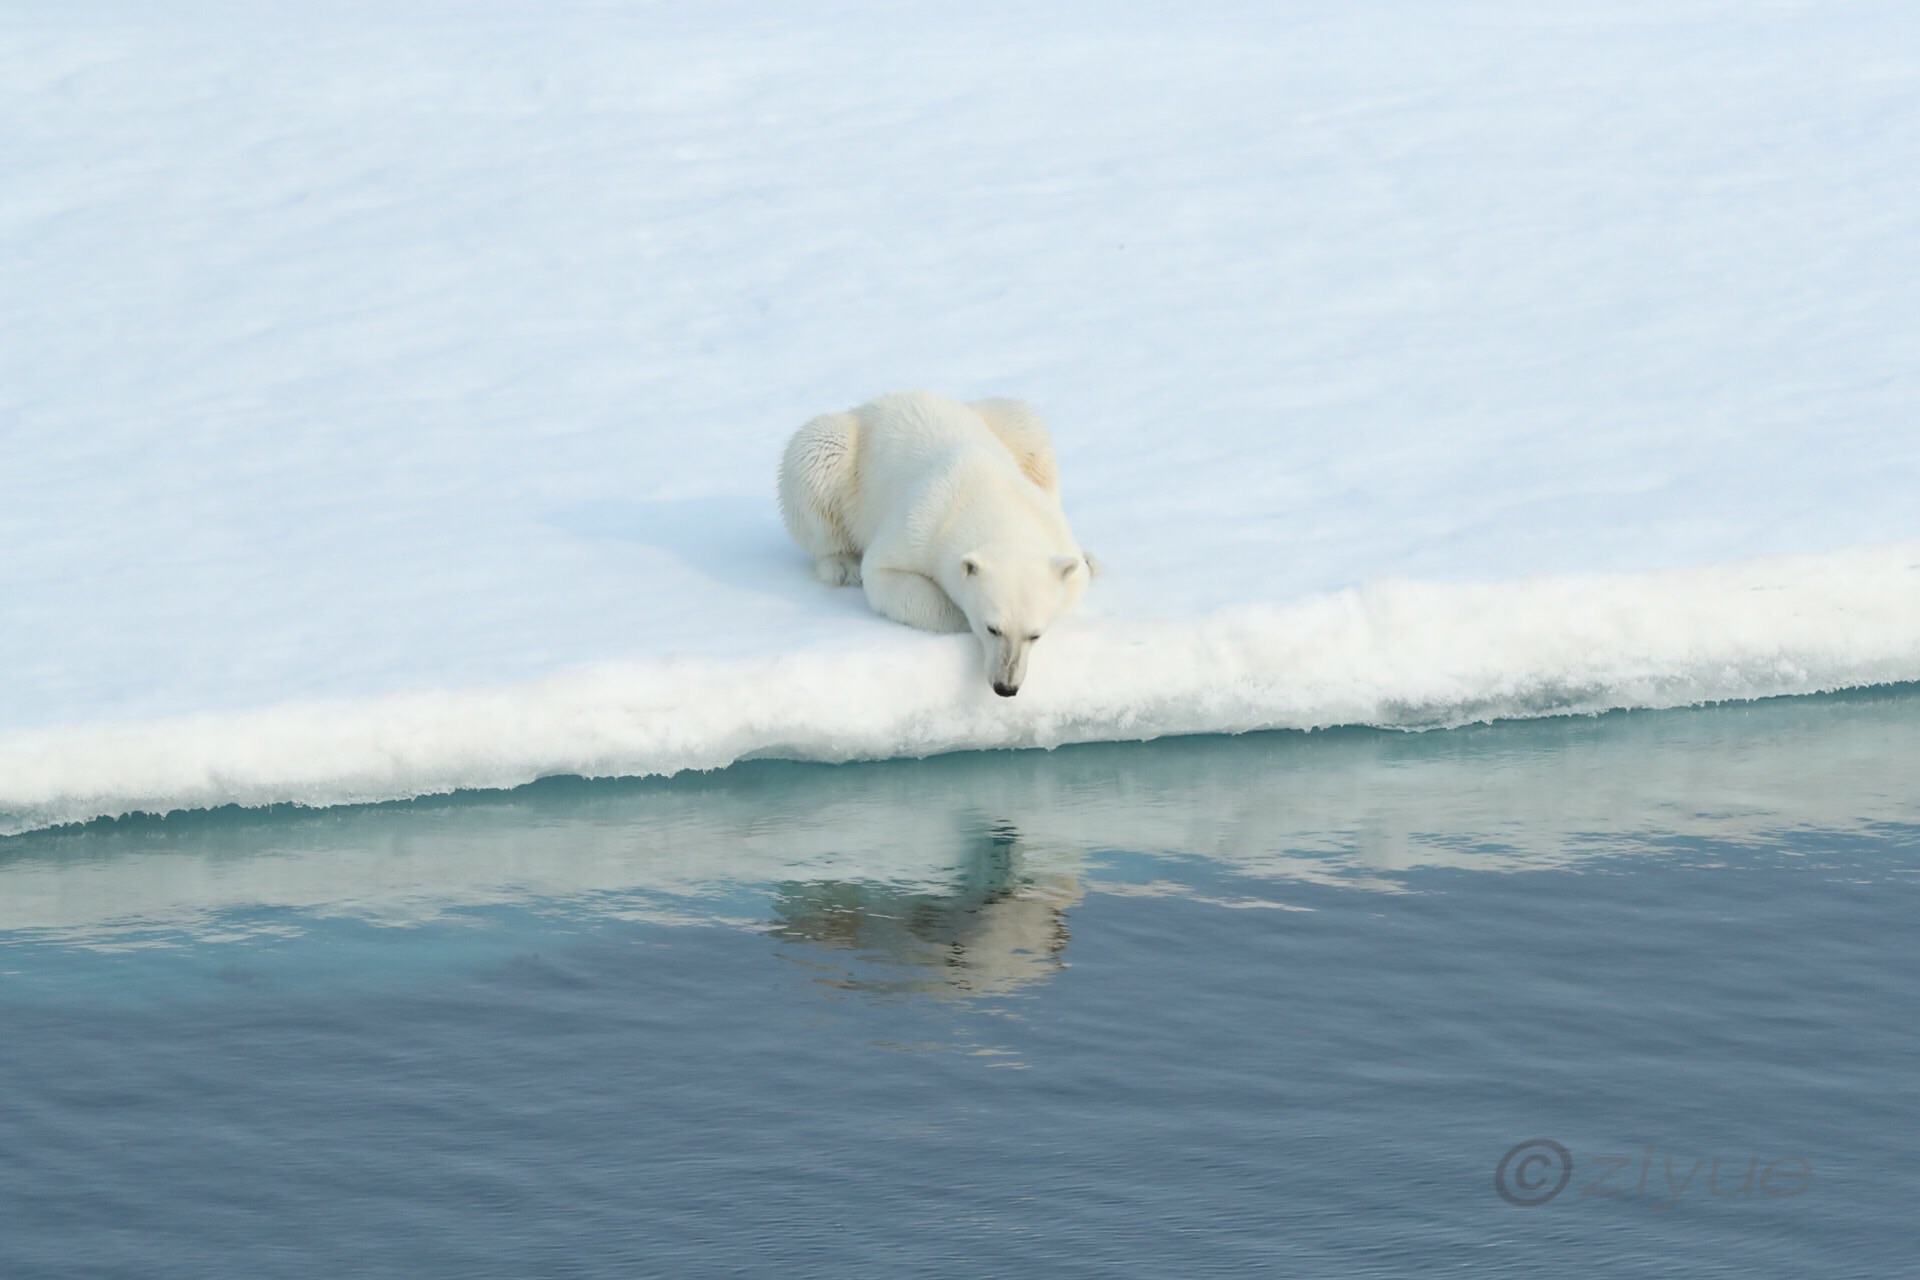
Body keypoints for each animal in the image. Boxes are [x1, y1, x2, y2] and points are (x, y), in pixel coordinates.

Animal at [775, 387, 1098, 694]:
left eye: (1035, 634)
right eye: (992, 628)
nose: (1006, 687)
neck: (987, 494)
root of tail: (877, 402)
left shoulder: (1052, 528)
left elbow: (1072, 580)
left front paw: (1085, 565)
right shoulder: (921, 522)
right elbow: (884, 575)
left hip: (1004, 425)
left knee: (1027, 427)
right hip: (838, 454)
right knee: (814, 457)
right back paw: (842, 565)